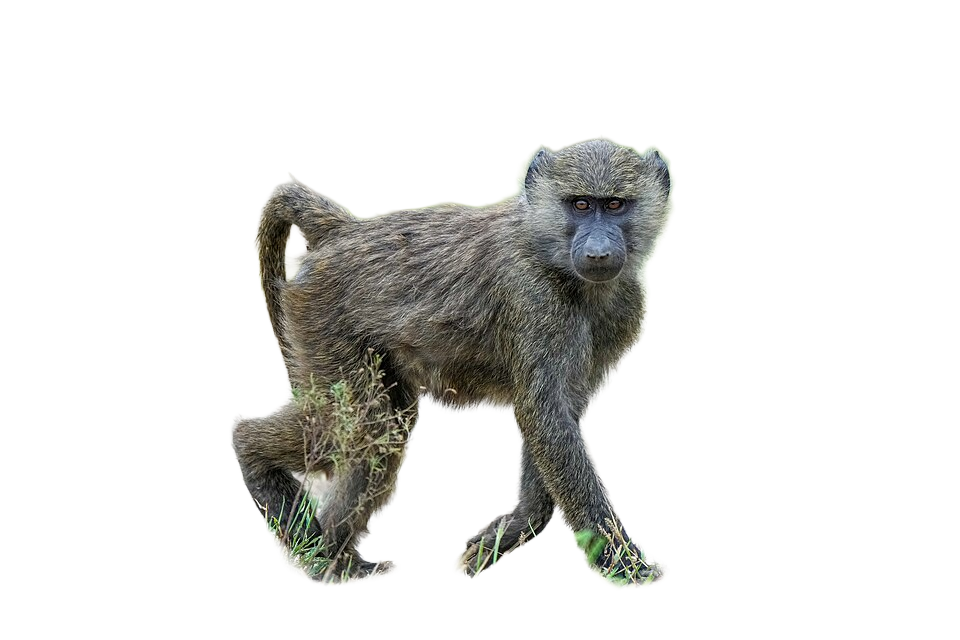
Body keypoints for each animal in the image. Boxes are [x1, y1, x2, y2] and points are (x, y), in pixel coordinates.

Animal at [229, 136, 676, 588]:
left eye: (615, 205)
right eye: (581, 204)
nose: (599, 253)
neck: (553, 255)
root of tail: (346, 229)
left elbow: (555, 415)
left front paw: (509, 530)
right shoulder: (534, 299)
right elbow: (546, 416)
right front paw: (624, 563)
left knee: (384, 428)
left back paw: (334, 563)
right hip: (323, 321)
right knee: (362, 425)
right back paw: (263, 473)